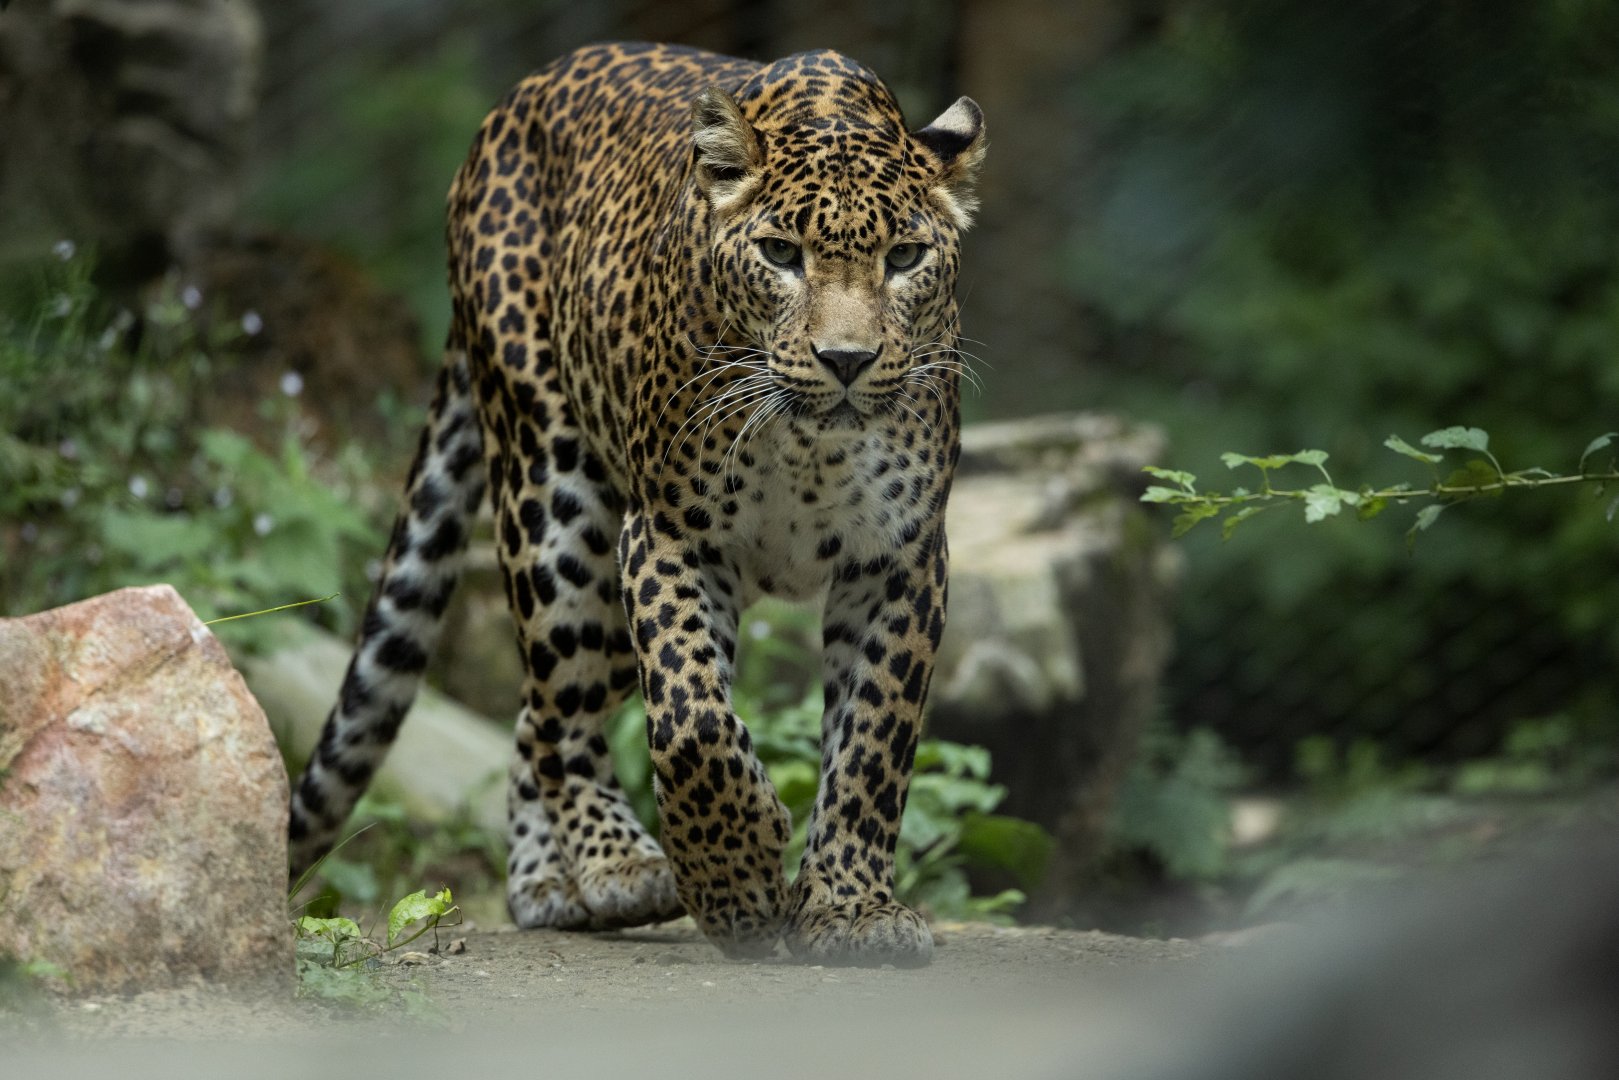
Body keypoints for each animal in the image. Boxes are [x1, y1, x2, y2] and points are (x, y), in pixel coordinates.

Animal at [287, 41, 985, 967]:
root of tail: (516, 100)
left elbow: (872, 743)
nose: (846, 360)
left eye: (905, 259)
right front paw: (737, 886)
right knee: (560, 711)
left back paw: (549, 884)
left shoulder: (897, 558)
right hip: (560, 508)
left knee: (532, 714)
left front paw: (849, 909)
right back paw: (614, 866)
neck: (811, 448)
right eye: (780, 252)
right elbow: (692, 721)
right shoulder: (670, 535)